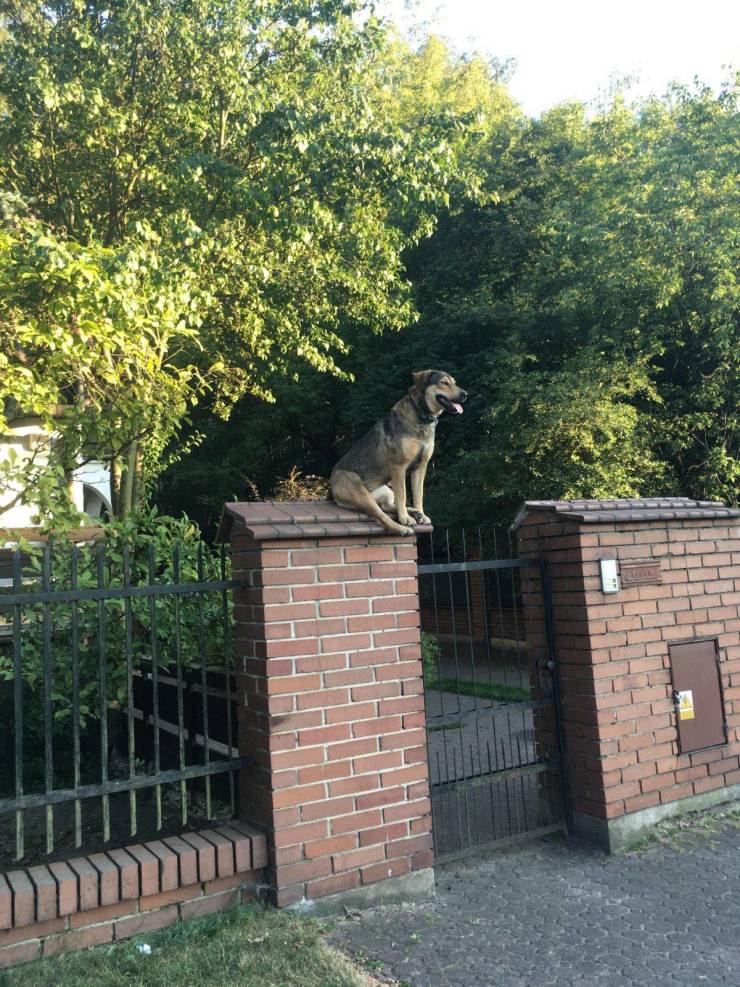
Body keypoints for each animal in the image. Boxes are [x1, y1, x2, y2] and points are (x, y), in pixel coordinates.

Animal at [330, 370, 466, 536]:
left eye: (454, 382)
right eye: (444, 383)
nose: (465, 394)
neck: (421, 416)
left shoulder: (421, 467)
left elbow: (418, 494)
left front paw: (421, 514)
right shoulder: (399, 467)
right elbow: (403, 495)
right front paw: (405, 518)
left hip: (386, 491)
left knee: (387, 507)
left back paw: (414, 512)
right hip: (360, 493)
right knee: (382, 515)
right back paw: (403, 527)